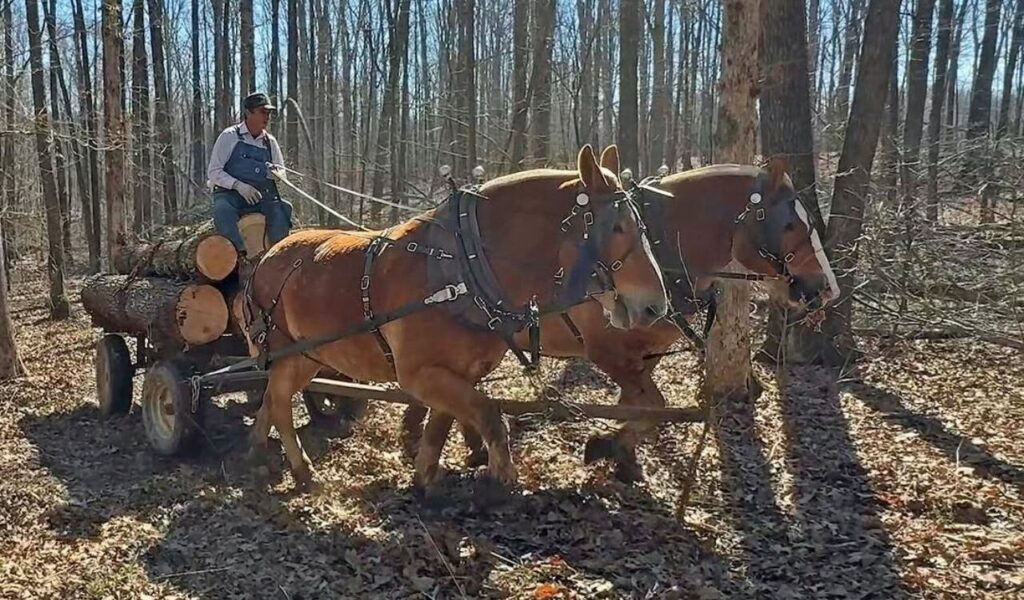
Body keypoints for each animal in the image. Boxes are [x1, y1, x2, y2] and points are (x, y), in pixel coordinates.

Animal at [241, 144, 669, 494]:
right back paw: (301, 470)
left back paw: (261, 452)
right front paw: (500, 480)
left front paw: (426, 476)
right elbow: (490, 415)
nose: (655, 306)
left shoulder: (456, 374)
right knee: (280, 402)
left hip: (307, 357)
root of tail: (265, 257)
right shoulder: (418, 374)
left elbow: (441, 426)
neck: (461, 271)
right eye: (617, 227)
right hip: (286, 353)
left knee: (272, 399)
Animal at [401, 147, 840, 483]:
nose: (826, 288)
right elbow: (651, 406)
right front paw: (605, 446)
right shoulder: (607, 353)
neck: (661, 253)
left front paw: (621, 453)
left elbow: (641, 405)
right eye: (789, 223)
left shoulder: (642, 354)